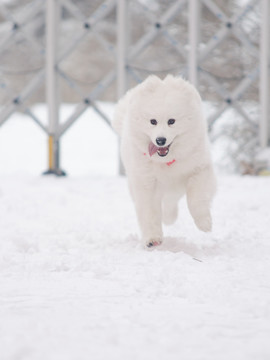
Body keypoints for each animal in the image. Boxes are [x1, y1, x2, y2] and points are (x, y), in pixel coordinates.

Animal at [113, 74, 216, 248]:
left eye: (171, 121)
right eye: (153, 121)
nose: (160, 140)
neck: (166, 162)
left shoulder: (200, 169)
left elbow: (196, 198)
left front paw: (204, 223)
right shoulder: (146, 183)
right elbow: (149, 212)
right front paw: (152, 239)